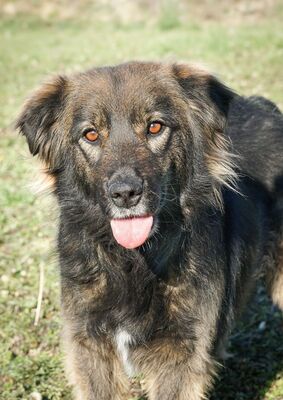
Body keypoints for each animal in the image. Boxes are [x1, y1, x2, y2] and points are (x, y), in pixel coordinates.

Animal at [16, 61, 283, 398]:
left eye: (155, 127)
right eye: (91, 134)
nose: (125, 194)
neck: (132, 263)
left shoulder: (182, 356)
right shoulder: (90, 347)